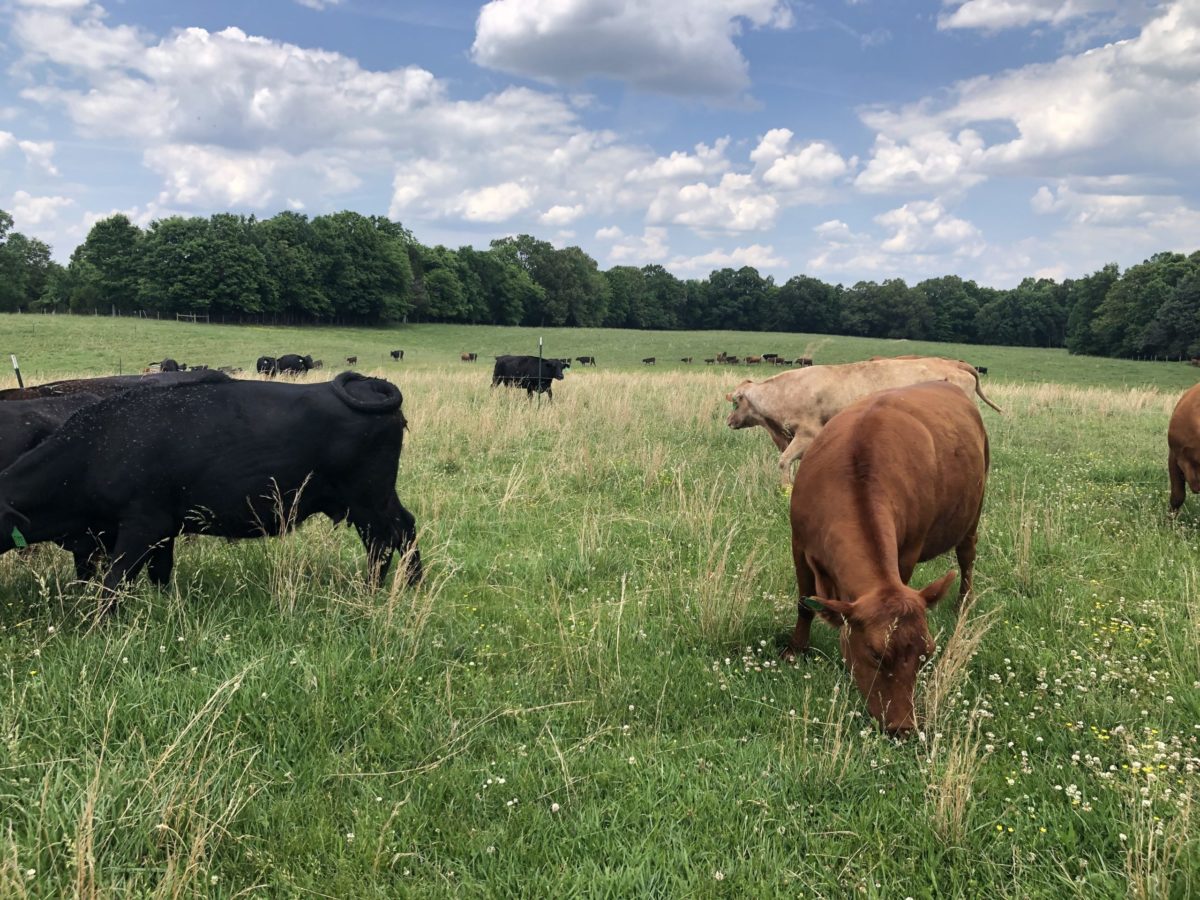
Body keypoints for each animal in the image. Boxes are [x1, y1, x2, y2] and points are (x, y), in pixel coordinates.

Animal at [0, 372, 422, 607]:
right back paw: (408, 585)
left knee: (388, 539)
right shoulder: (163, 530)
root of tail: (370, 385)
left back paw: (378, 590)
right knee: (403, 530)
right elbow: (159, 574)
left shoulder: (142, 525)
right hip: (374, 500)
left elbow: (115, 581)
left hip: (368, 500)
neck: (99, 447)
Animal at [727, 356, 1003, 485]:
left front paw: (785, 490)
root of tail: (957, 366)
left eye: (735, 402)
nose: (728, 420)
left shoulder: (808, 433)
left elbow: (784, 461)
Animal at [785, 381, 989, 736]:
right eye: (874, 652)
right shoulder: (799, 542)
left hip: (974, 508)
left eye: (927, 653)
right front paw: (796, 649)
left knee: (967, 556)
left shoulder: (907, 550)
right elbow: (804, 603)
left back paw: (963, 601)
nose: (903, 727)